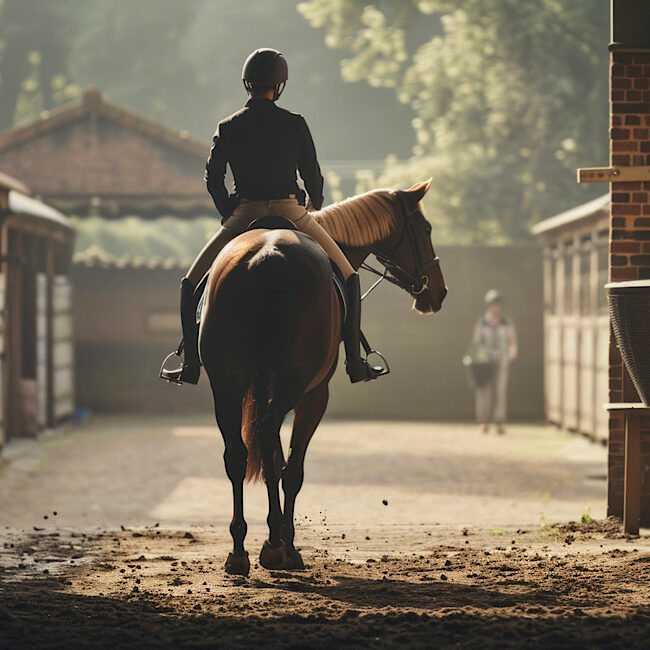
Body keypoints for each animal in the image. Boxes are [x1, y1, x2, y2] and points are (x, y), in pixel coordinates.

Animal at [199, 180, 447, 575]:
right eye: (426, 230)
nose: (438, 293)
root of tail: (265, 256)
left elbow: (270, 459)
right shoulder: (315, 394)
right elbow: (292, 468)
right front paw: (284, 544)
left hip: (226, 386)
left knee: (238, 454)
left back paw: (239, 551)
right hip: (294, 384)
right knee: (275, 448)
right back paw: (277, 546)